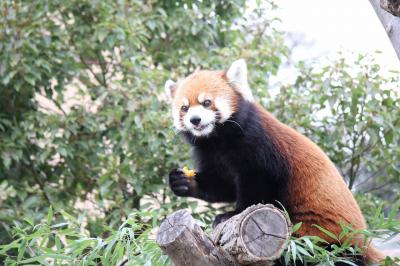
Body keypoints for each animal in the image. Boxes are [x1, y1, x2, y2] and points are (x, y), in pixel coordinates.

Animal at [165, 58, 384, 264]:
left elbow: (257, 184)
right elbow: (223, 186)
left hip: (321, 235)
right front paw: (184, 182)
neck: (217, 139)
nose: (195, 120)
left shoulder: (258, 144)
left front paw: (233, 213)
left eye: (206, 102)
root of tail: (364, 241)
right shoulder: (208, 152)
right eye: (184, 108)